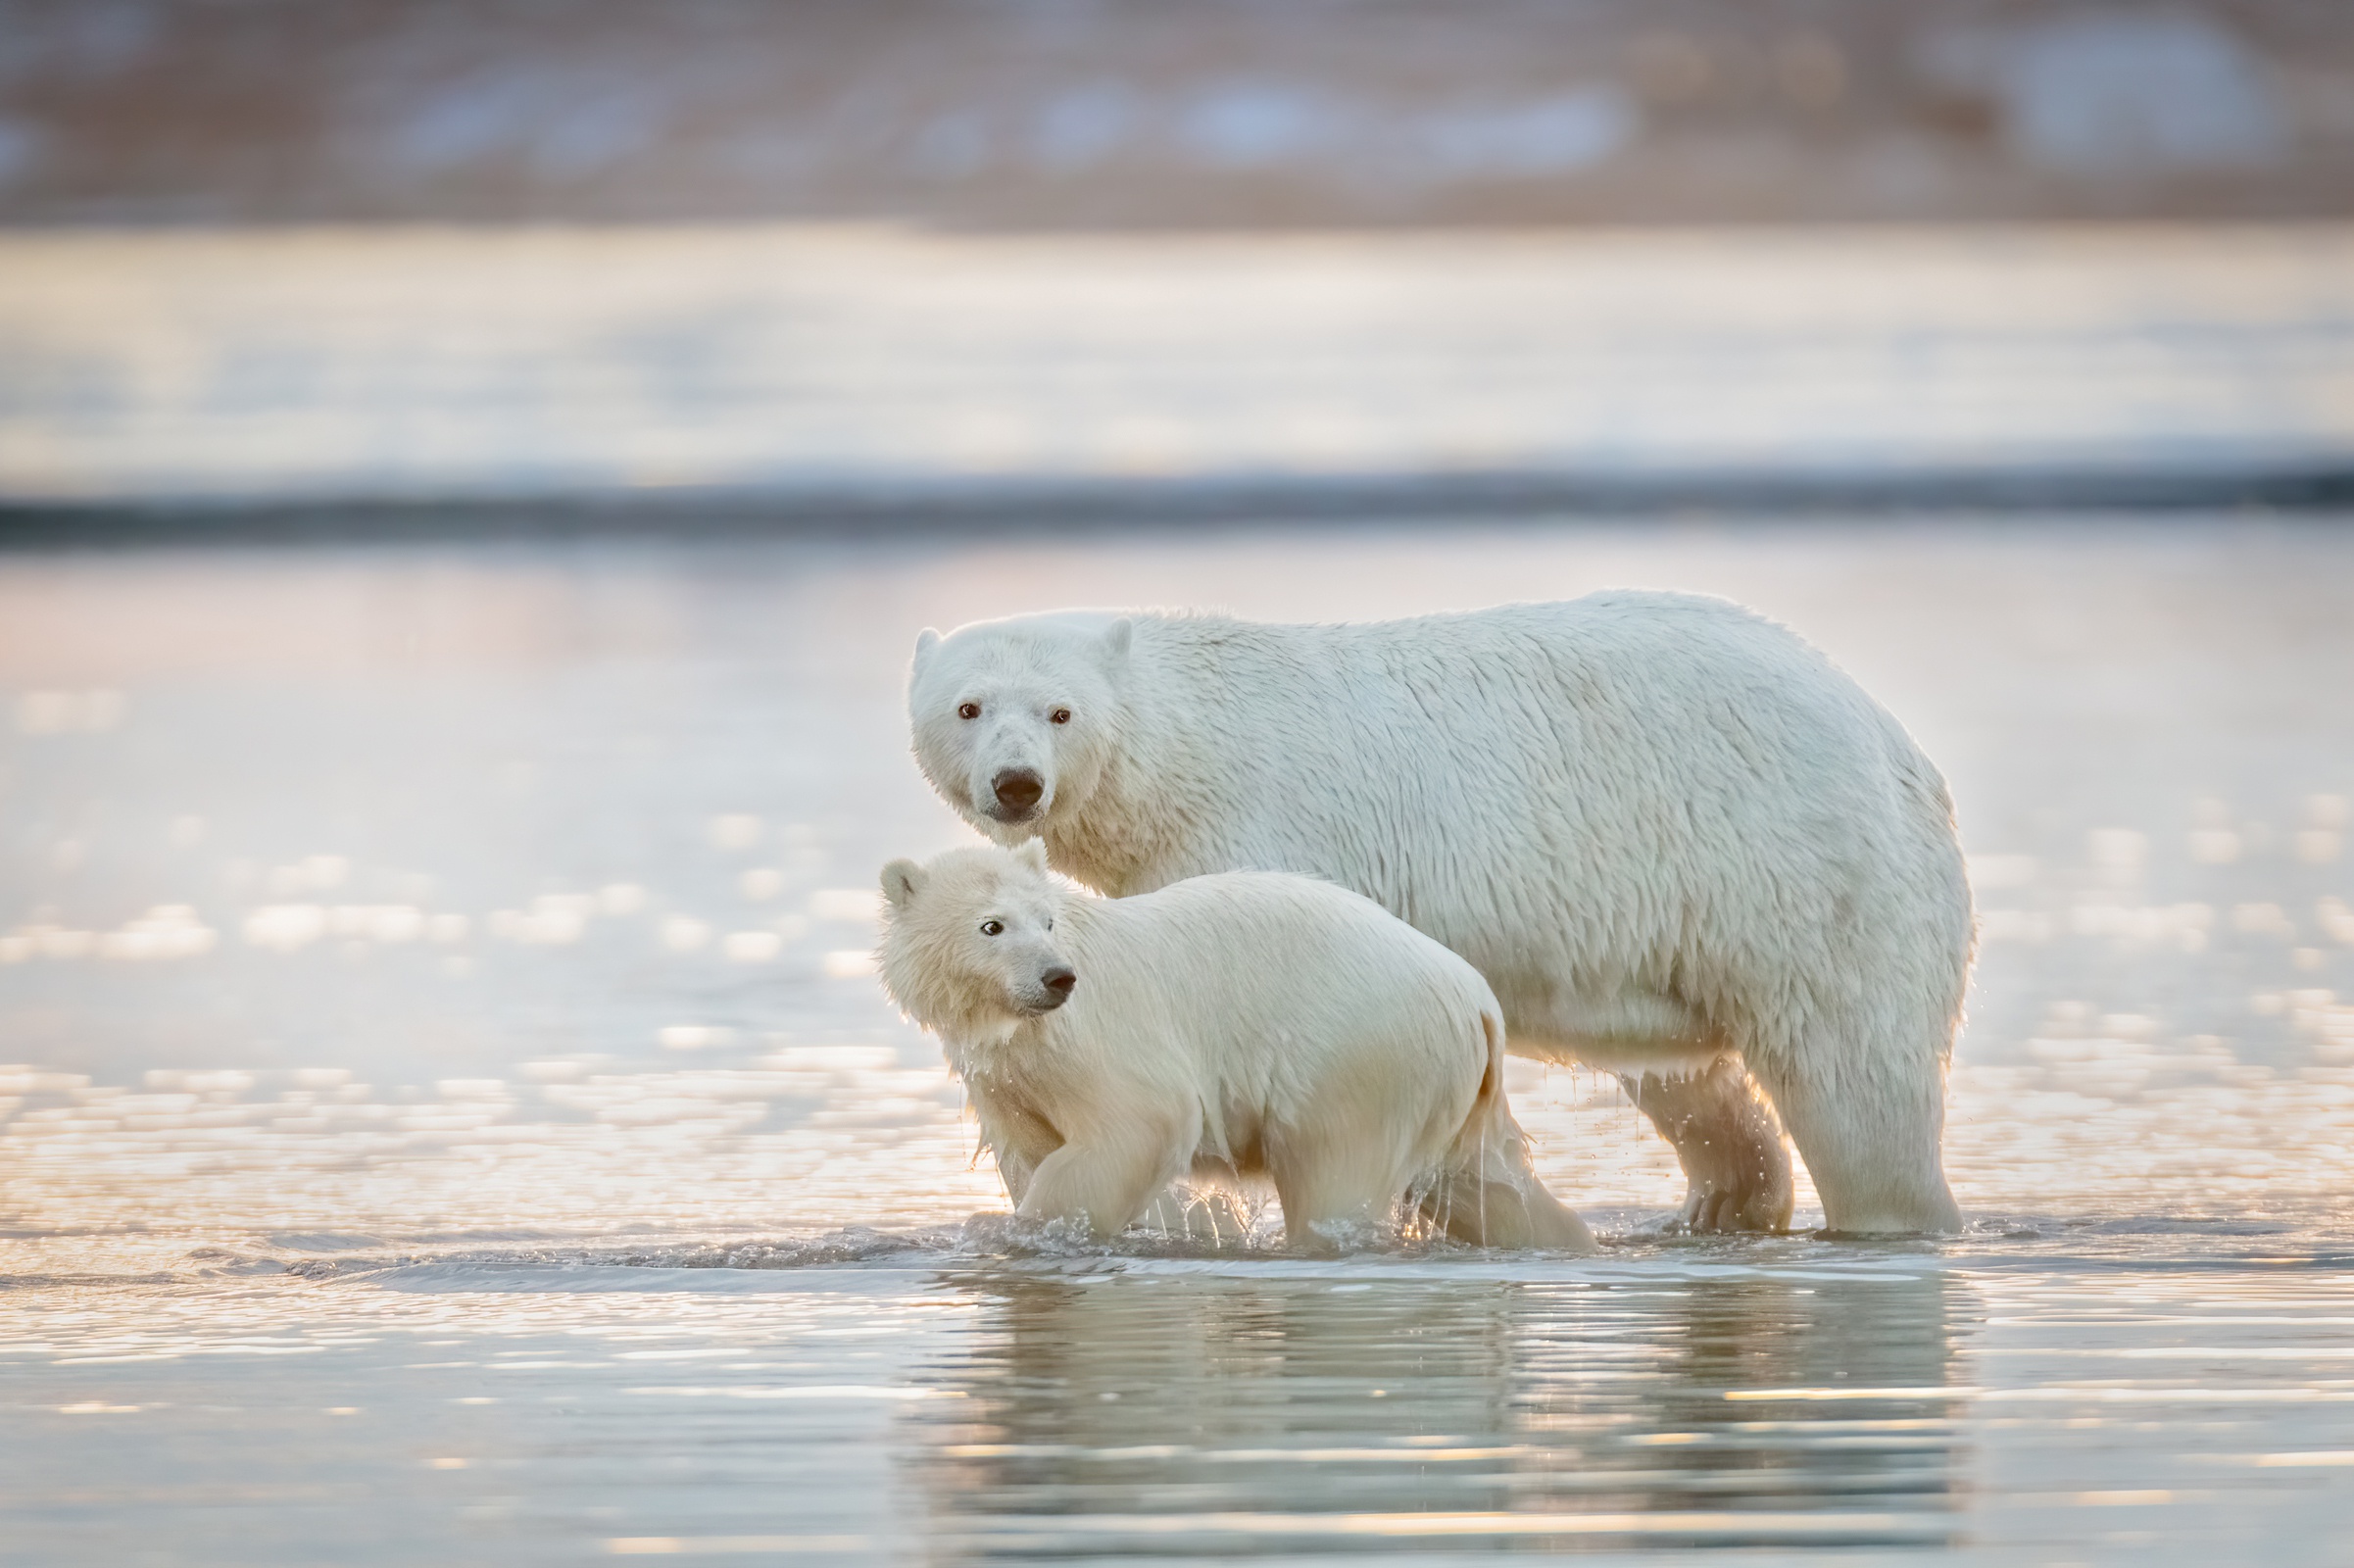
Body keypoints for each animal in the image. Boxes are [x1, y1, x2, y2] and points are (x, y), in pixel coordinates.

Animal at [885, 838, 1600, 1252]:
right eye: (992, 926)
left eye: (1048, 919)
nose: (1056, 977)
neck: (1015, 1024)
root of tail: (1477, 998)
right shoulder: (1006, 1070)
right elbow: (1028, 1147)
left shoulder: (1096, 1036)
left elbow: (1140, 1121)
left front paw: (1035, 1229)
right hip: (1452, 1081)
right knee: (1486, 1184)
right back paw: (1563, 1239)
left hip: (1359, 1059)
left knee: (1336, 1176)